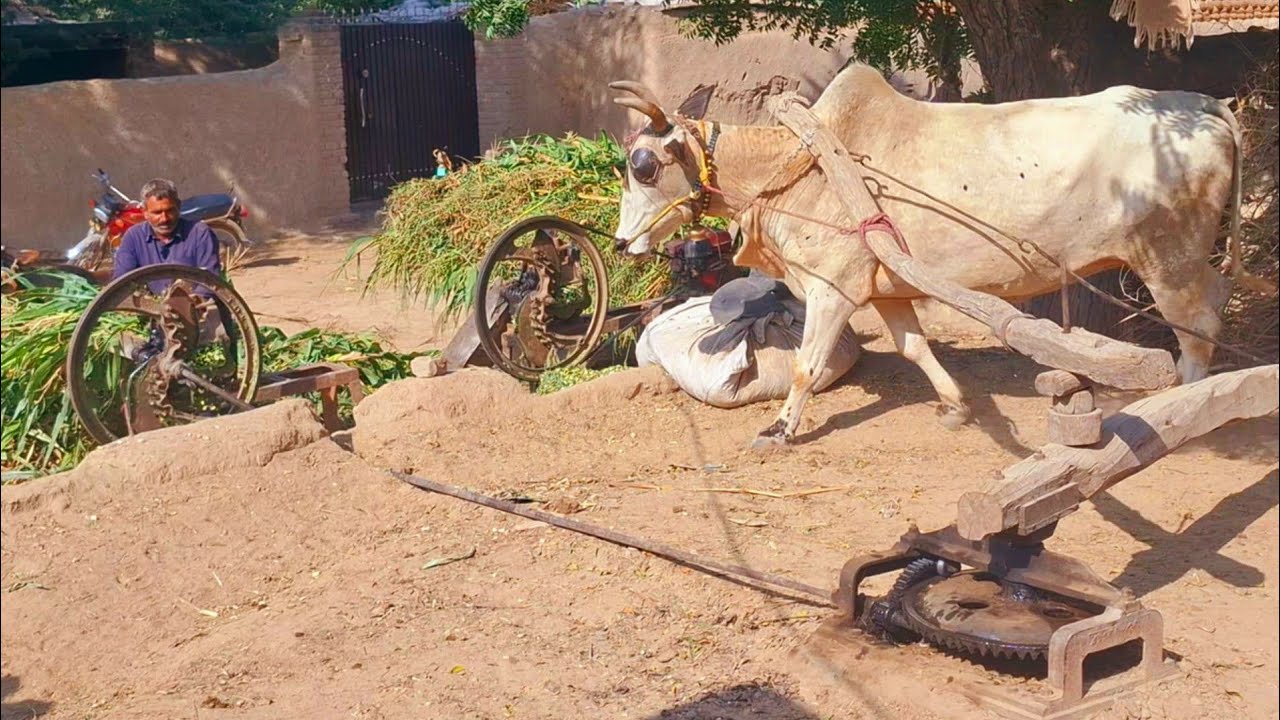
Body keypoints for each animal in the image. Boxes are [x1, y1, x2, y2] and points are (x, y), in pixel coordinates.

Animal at [609, 65, 1274, 447]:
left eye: (643, 166)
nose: (620, 242)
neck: (801, 163)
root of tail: (1210, 105)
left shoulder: (832, 289)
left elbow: (805, 367)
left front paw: (778, 429)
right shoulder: (885, 289)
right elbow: (915, 348)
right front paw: (955, 407)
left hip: (1169, 261)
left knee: (1197, 327)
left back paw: (1181, 409)